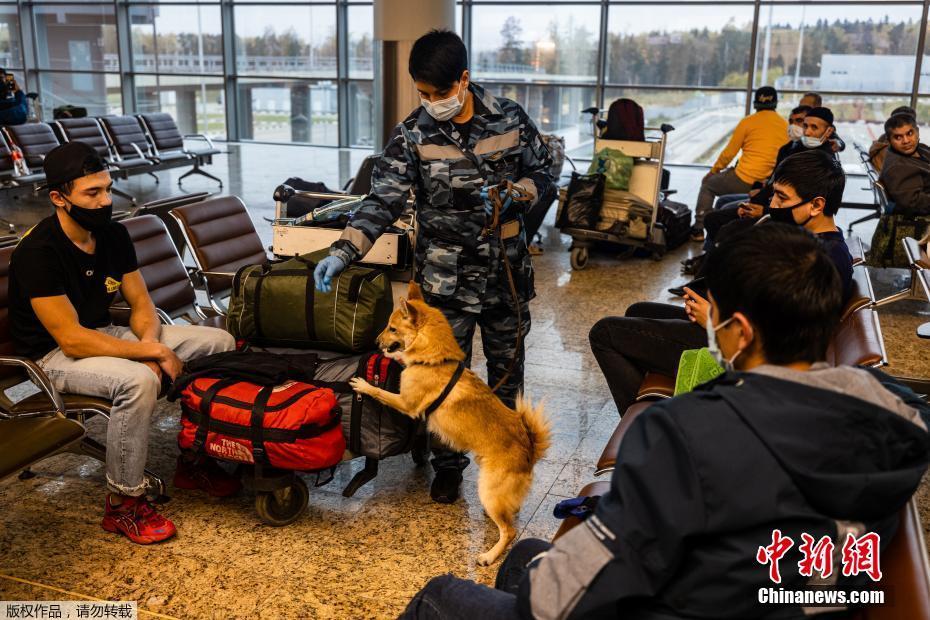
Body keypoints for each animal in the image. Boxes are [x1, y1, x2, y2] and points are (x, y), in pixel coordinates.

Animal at [348, 284, 552, 564]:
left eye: (392, 328)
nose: (376, 343)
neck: (437, 360)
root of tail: (529, 450)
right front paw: (400, 358)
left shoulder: (406, 404)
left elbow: (381, 392)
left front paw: (365, 385)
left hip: (488, 489)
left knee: (509, 531)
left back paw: (490, 555)